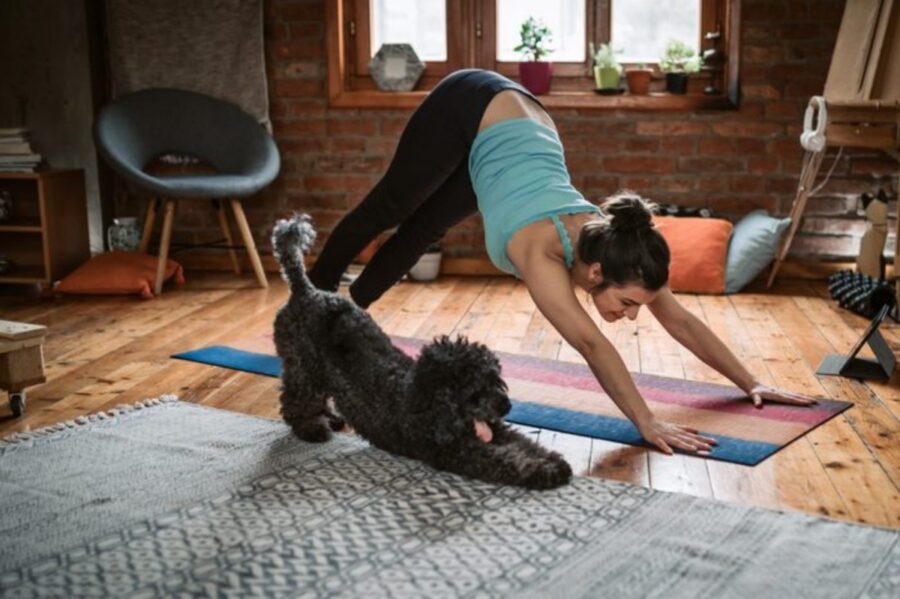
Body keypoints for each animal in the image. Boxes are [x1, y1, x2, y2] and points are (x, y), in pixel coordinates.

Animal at [270, 218, 572, 490]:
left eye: (496, 380)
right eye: (475, 389)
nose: (506, 406)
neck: (425, 398)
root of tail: (304, 290)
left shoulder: (494, 429)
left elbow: (523, 442)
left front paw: (553, 460)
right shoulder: (458, 451)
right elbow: (505, 460)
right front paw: (543, 471)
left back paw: (331, 418)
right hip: (303, 367)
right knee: (294, 402)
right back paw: (310, 429)